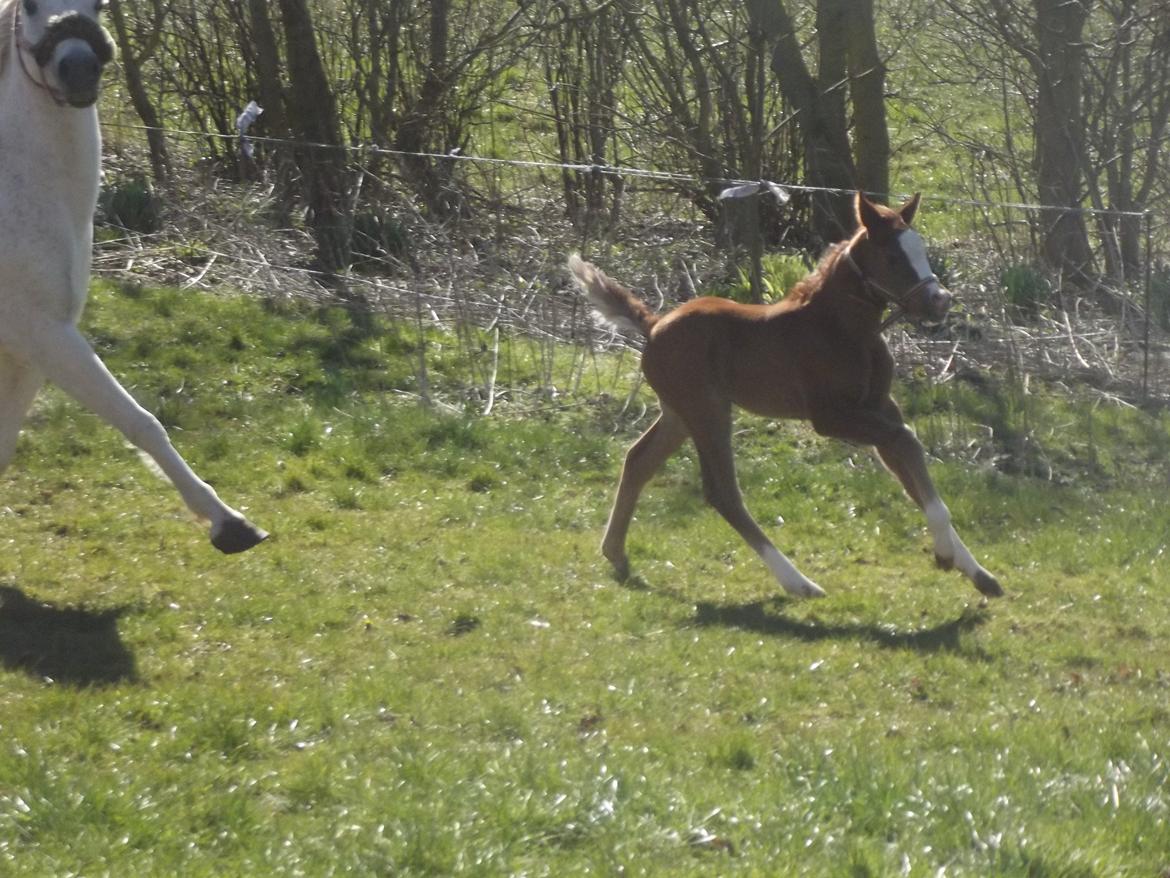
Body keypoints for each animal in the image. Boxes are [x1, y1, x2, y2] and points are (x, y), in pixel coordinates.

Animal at [0, 0, 266, 553]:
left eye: (101, 6)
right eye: (30, 6)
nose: (78, 69)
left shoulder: (31, 352)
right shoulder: (42, 334)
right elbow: (140, 421)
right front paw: (228, 523)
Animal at [568, 192, 1002, 599]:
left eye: (921, 249)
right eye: (894, 256)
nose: (940, 301)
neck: (843, 330)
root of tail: (654, 325)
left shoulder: (880, 408)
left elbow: (911, 473)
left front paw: (976, 572)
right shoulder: (831, 417)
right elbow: (909, 443)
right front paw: (944, 555)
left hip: (680, 414)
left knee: (638, 461)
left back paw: (616, 553)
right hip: (707, 411)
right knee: (722, 493)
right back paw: (798, 583)